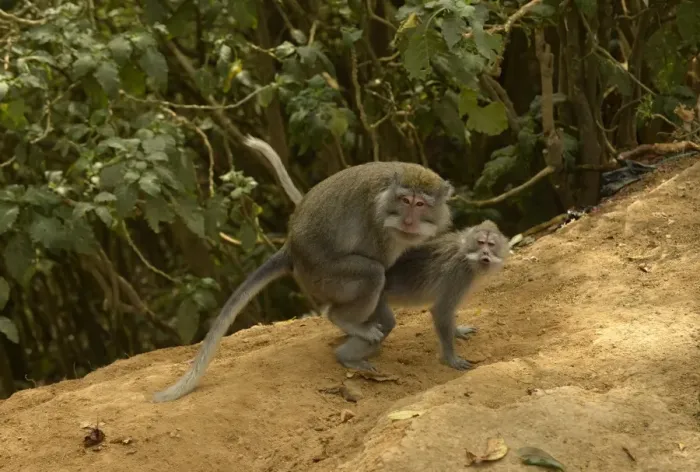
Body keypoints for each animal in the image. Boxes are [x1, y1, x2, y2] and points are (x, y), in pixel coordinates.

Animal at [151, 136, 453, 402]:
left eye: (420, 204)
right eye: (405, 201)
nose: (409, 222)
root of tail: (292, 247)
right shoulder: (379, 229)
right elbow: (383, 271)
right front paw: (381, 321)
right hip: (323, 275)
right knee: (371, 274)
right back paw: (346, 321)